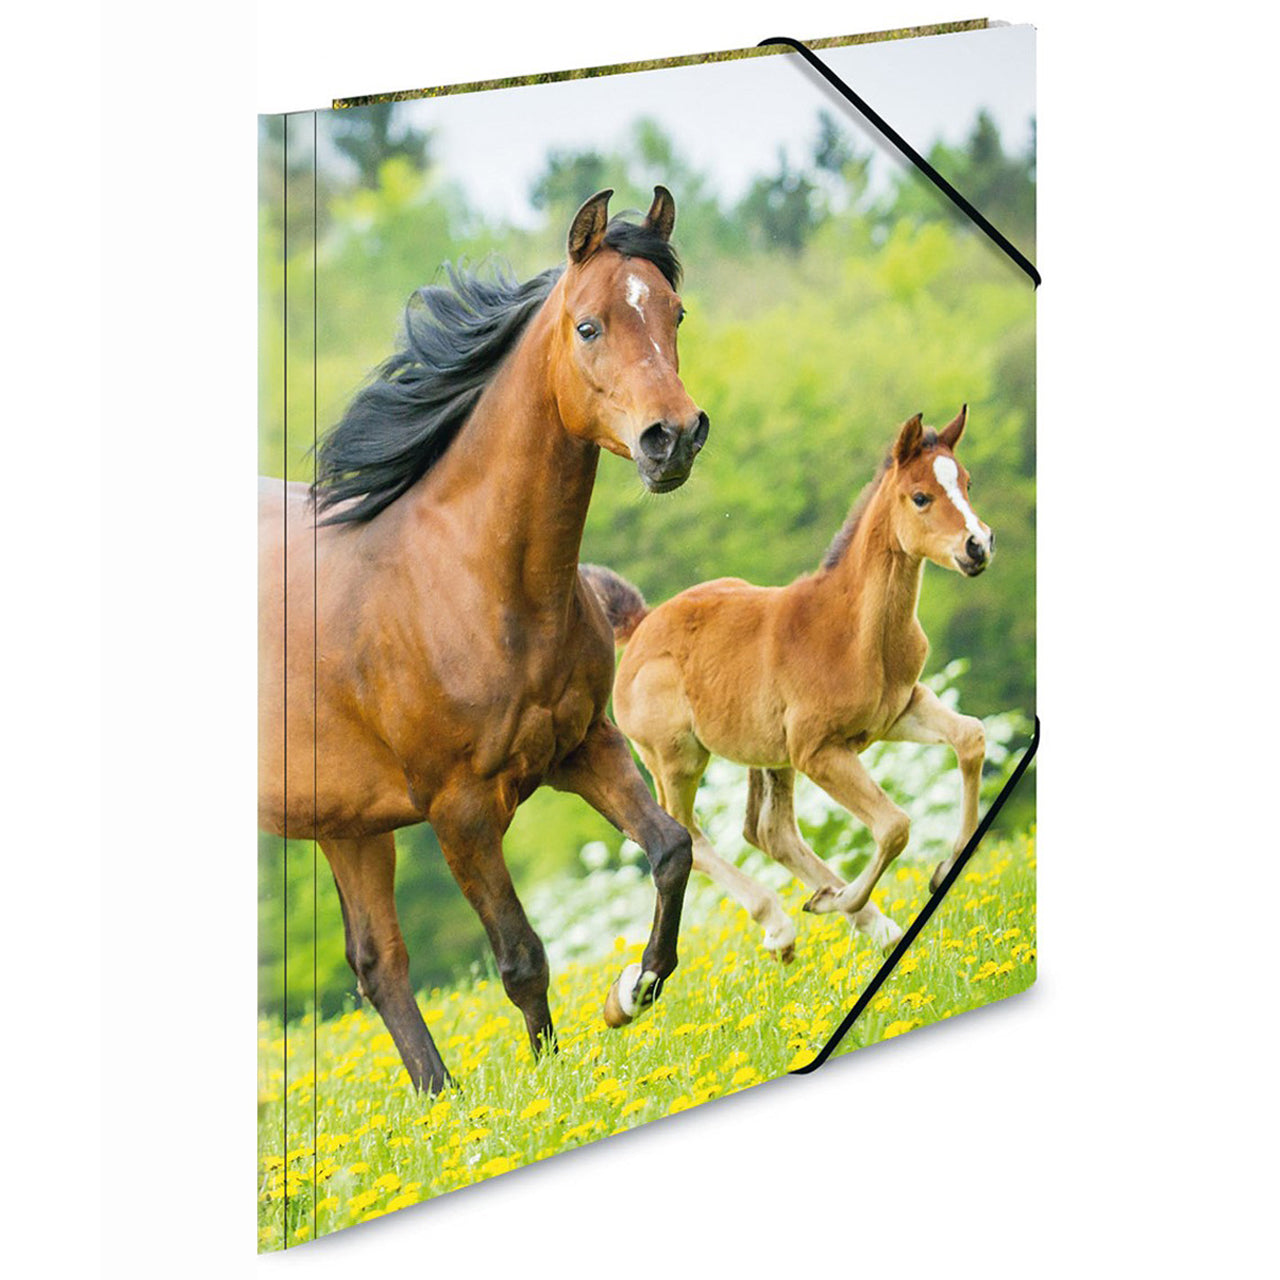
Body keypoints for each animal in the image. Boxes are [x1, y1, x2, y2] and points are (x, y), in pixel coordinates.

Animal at [259, 188, 710, 1093]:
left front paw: (632, 991)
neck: (469, 581)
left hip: (345, 825)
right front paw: (549, 1085)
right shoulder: (460, 810)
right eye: (588, 326)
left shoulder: (584, 747)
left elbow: (672, 849)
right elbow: (521, 956)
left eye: (674, 311)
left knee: (379, 964)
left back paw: (441, 1103)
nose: (672, 438)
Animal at [582, 406, 992, 963]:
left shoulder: (902, 709)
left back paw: (868, 921)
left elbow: (971, 738)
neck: (855, 631)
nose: (979, 546)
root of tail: (641, 625)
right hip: (676, 758)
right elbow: (895, 826)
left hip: (766, 753)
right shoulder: (817, 750)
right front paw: (840, 899)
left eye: (966, 482)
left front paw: (943, 869)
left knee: (768, 831)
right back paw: (783, 924)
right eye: (921, 496)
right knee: (688, 834)